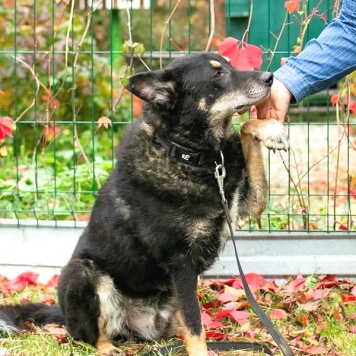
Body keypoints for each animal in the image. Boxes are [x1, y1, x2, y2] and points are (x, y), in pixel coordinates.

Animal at [0, 52, 290, 356]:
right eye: (217, 74)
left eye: (230, 65)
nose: (270, 78)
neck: (192, 156)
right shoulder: (181, 262)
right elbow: (195, 326)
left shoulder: (247, 204)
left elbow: (245, 129)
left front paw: (270, 129)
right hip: (85, 272)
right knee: (88, 336)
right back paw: (107, 347)